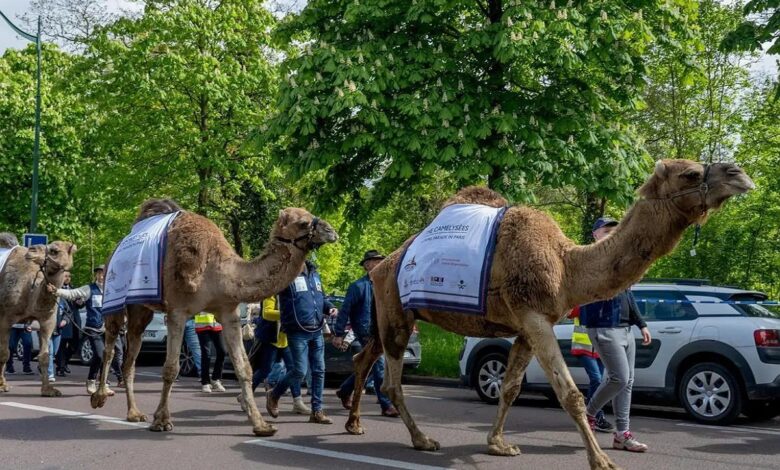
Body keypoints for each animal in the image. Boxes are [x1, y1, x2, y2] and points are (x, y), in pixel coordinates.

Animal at [0, 235, 77, 396]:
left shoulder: (47, 321)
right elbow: (4, 352)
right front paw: (2, 385)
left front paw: (49, 390)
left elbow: (45, 356)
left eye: (54, 250)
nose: (31, 250)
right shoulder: (5, 318)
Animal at [91, 199, 338, 437]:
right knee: (110, 345)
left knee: (131, 354)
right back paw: (99, 397)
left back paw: (134, 413)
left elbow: (244, 367)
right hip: (115, 300)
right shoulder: (177, 311)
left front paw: (261, 425)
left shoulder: (228, 313)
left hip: (141, 309)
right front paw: (161, 421)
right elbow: (171, 368)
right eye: (303, 223)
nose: (332, 231)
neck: (219, 271)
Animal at [345, 160, 754, 469]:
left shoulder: (527, 326)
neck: (565, 265)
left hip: (387, 315)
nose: (739, 174)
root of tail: (381, 268)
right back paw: (422, 439)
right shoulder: (535, 317)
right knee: (391, 381)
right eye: (690, 173)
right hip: (396, 310)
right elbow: (569, 393)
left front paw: (498, 444)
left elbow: (510, 387)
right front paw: (602, 460)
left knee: (364, 355)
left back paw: (353, 424)